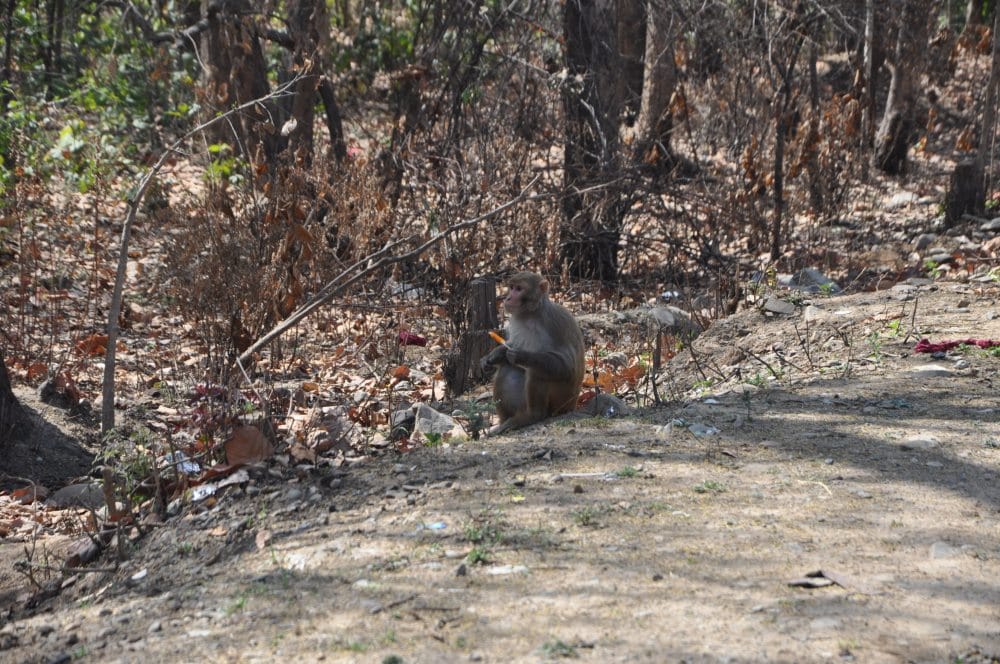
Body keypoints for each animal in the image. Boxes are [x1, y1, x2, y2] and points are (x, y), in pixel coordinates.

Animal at [480, 272, 585, 435]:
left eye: (519, 289)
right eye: (511, 287)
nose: (507, 298)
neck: (531, 314)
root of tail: (572, 406)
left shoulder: (554, 323)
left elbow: (567, 366)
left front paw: (521, 356)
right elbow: (510, 345)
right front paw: (494, 356)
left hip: (561, 402)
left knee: (538, 371)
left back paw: (533, 416)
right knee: (507, 368)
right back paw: (505, 422)